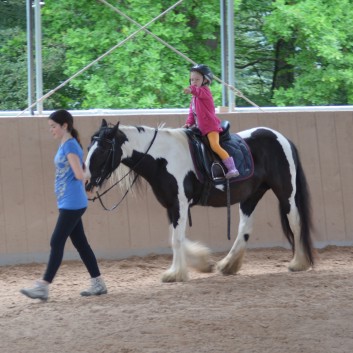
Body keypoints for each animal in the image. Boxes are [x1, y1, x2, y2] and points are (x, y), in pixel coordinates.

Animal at [85, 119, 314, 282]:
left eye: (102, 150)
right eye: (89, 148)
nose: (87, 182)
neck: (163, 158)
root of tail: (282, 138)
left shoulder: (180, 204)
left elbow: (176, 239)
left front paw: (175, 273)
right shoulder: (172, 205)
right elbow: (175, 237)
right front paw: (203, 262)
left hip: (286, 192)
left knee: (296, 223)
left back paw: (298, 263)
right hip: (251, 195)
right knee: (245, 229)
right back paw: (228, 265)